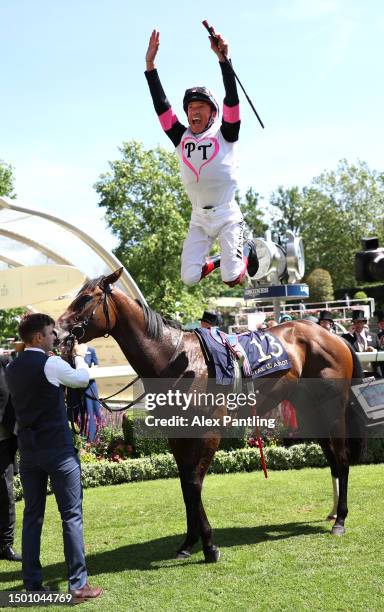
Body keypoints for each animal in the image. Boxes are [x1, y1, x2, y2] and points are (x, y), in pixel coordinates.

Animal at [56, 270, 364, 560]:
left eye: (86, 298)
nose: (58, 331)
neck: (177, 360)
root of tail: (332, 336)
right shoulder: (176, 434)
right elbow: (185, 484)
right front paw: (188, 542)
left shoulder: (209, 432)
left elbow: (194, 482)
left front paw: (208, 545)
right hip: (309, 409)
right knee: (332, 460)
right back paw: (333, 512)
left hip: (332, 409)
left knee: (342, 458)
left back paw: (341, 520)